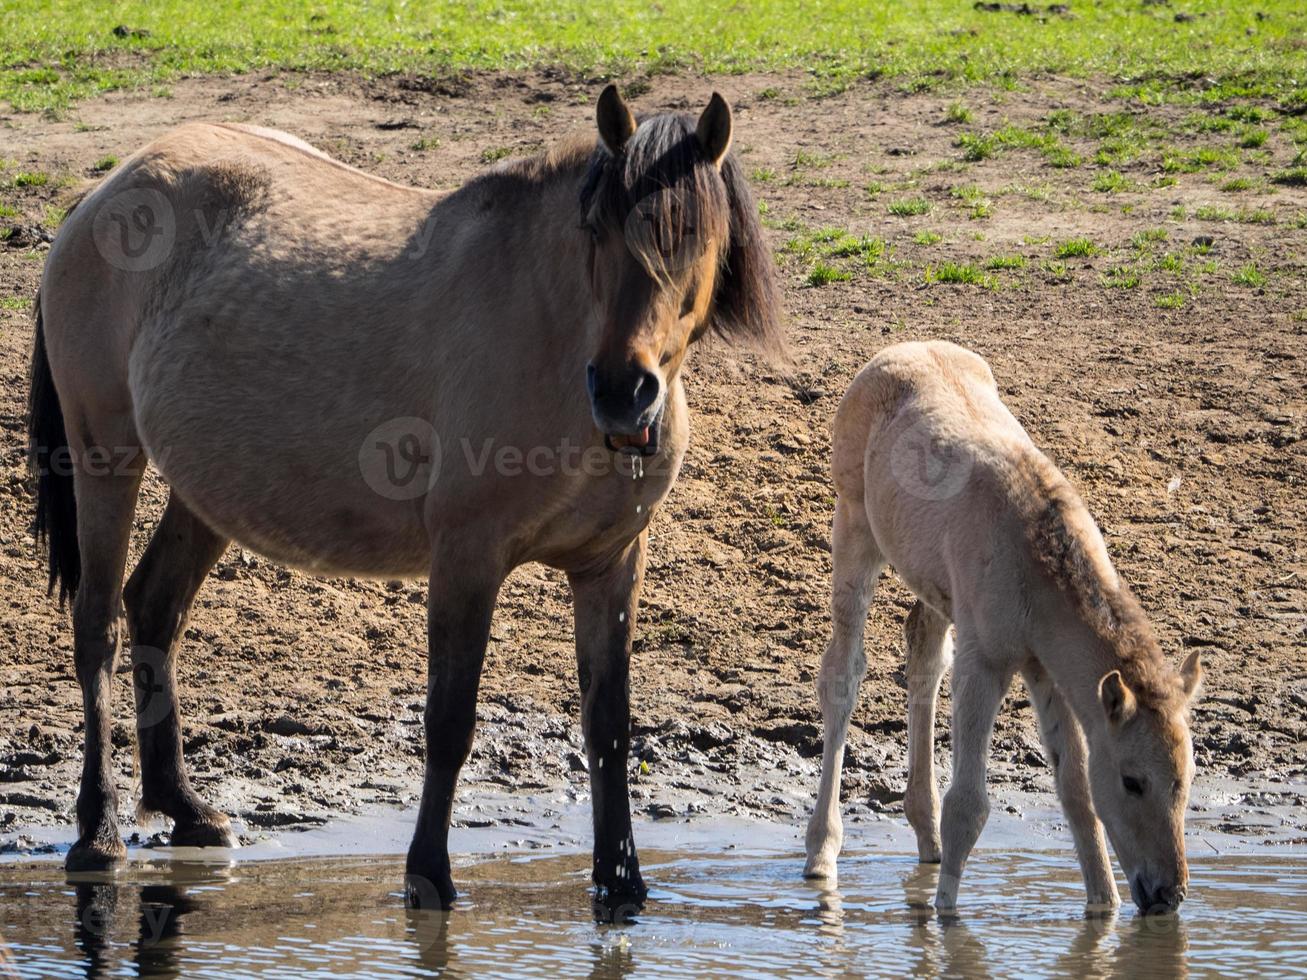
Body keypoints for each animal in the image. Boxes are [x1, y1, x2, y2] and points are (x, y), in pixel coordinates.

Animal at [28, 86, 773, 919]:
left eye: (694, 238)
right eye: (597, 230)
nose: (621, 391)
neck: (551, 337)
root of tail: (110, 187)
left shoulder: (611, 563)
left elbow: (608, 725)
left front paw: (621, 886)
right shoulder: (467, 557)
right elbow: (449, 721)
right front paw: (428, 877)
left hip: (204, 487)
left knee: (155, 604)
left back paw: (186, 809)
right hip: (105, 458)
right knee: (97, 625)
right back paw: (98, 831)